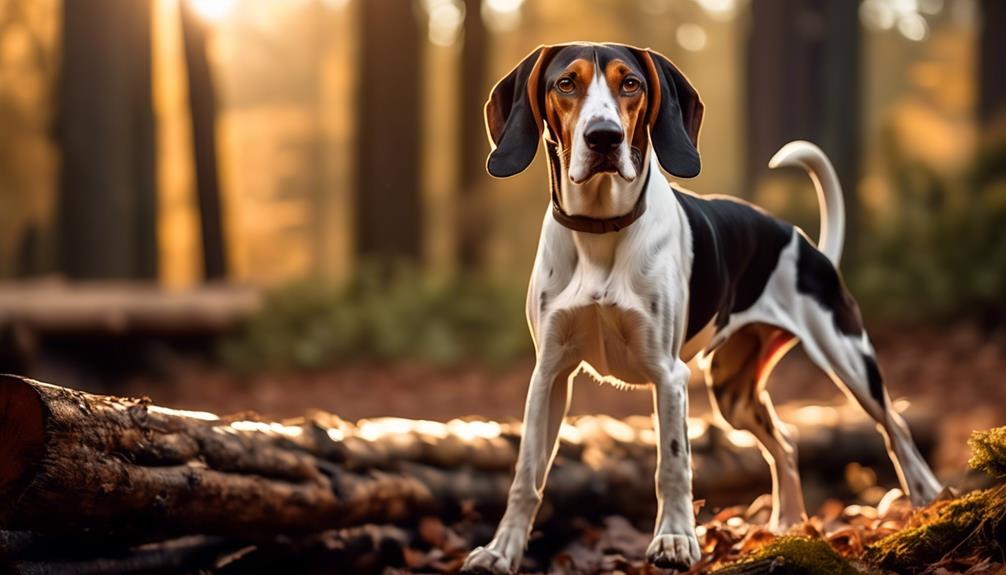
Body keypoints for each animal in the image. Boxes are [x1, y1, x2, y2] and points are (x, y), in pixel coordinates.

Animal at [462, 42, 941, 570]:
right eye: (566, 83)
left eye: (631, 83)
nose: (604, 137)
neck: (600, 231)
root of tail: (804, 243)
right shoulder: (549, 374)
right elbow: (526, 475)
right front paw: (500, 551)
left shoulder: (669, 377)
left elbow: (673, 463)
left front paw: (675, 540)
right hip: (734, 394)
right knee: (787, 444)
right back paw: (788, 523)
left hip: (848, 356)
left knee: (896, 429)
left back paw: (927, 500)